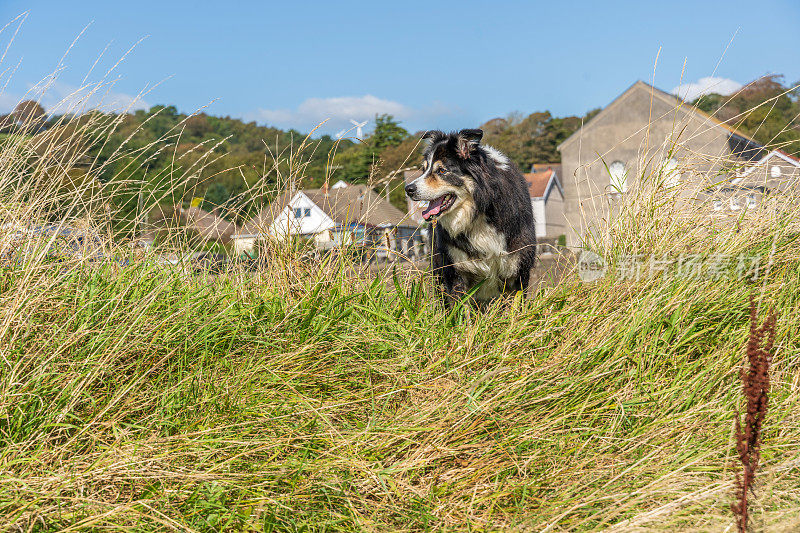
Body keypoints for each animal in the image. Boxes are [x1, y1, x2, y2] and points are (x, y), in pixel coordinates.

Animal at [406, 128, 536, 304]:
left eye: (441, 171)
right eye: (424, 169)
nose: (408, 189)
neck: (479, 213)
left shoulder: (517, 271)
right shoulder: (455, 270)